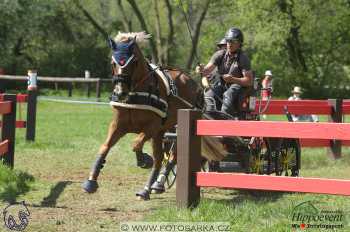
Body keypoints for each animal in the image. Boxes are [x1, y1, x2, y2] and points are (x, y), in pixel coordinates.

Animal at [82, 31, 224, 200]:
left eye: (134, 61)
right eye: (113, 62)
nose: (120, 92)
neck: (137, 91)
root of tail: (195, 85)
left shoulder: (151, 127)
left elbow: (136, 144)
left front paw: (144, 160)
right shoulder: (118, 125)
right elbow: (105, 147)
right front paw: (91, 181)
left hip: (176, 129)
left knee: (171, 156)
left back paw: (153, 184)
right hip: (162, 132)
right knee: (161, 157)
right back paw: (150, 187)